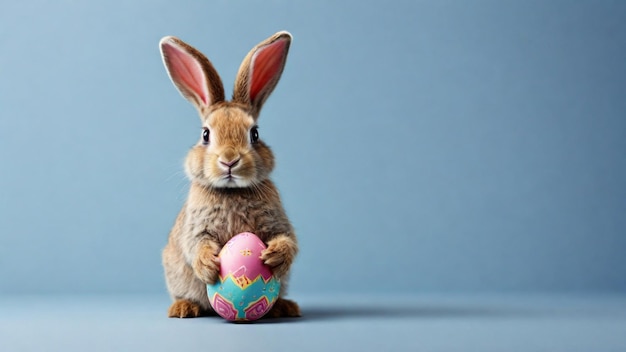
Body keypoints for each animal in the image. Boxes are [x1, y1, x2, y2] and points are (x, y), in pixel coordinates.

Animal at [158, 31, 300, 320]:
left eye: (254, 134)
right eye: (205, 134)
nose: (229, 160)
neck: (233, 191)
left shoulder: (277, 223)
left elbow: (288, 239)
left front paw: (275, 255)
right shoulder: (197, 228)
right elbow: (197, 245)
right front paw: (208, 264)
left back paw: (284, 307)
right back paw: (183, 308)